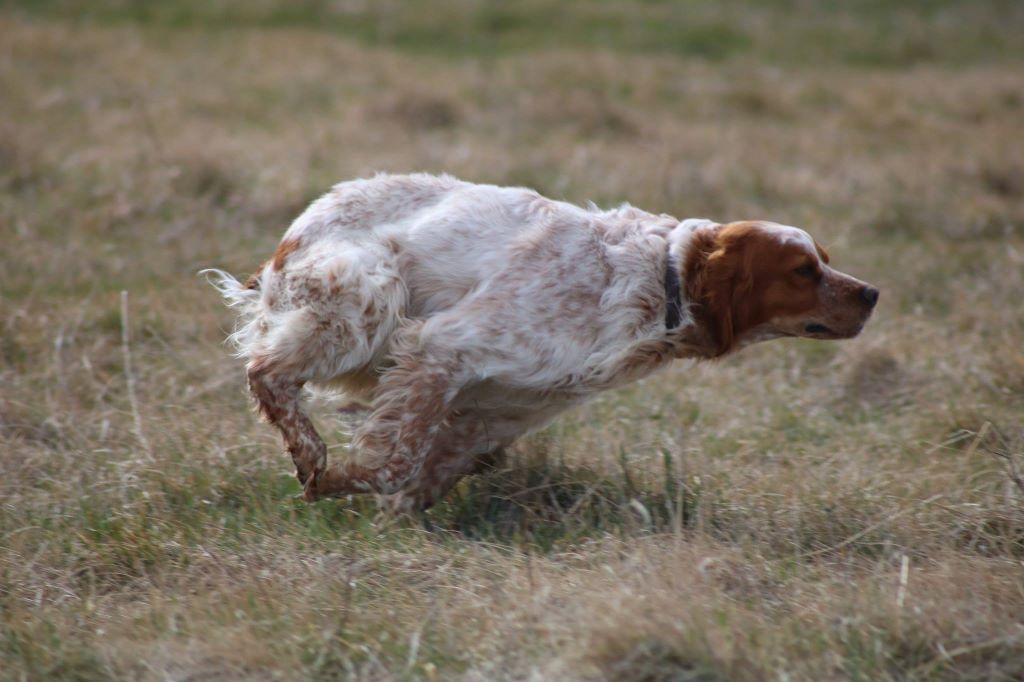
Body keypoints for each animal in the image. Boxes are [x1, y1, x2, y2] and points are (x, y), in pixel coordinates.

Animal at [207, 173, 880, 507]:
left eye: (826, 260)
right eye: (803, 270)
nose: (873, 293)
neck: (656, 279)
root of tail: (292, 234)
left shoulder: (502, 409)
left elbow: (431, 471)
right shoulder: (444, 348)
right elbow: (392, 465)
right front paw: (333, 484)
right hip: (370, 293)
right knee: (267, 373)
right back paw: (309, 455)